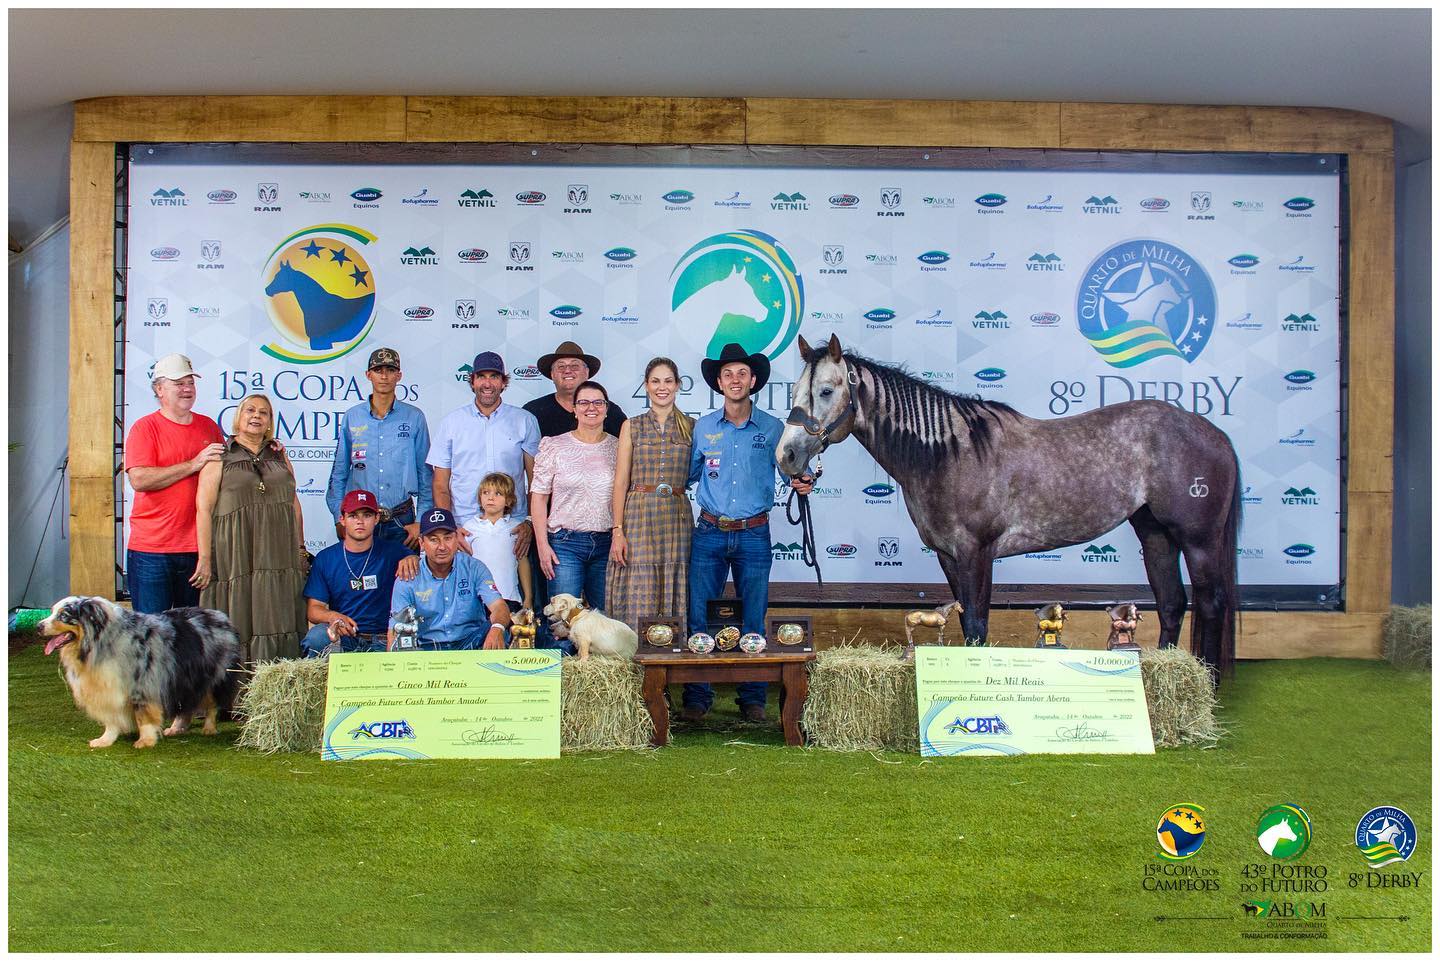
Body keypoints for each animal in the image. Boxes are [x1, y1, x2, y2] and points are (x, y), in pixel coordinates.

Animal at [39, 596, 243, 749]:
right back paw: (176, 728)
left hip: (212, 677)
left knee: (211, 704)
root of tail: (219, 615)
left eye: (63, 615)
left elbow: (143, 716)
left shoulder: (142, 685)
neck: (101, 643)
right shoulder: (108, 688)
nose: (38, 626)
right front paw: (105, 740)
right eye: (52, 612)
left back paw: (209, 728)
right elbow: (111, 719)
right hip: (182, 679)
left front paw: (145, 741)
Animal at [777, 334, 1238, 680]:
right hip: (1155, 532)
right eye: (795, 392)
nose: (787, 456)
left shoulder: (977, 553)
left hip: (1198, 539)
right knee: (1172, 602)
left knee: (1210, 603)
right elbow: (966, 619)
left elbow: (979, 623)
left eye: (826, 390)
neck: (948, 454)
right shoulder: (948, 556)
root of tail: (1214, 433)